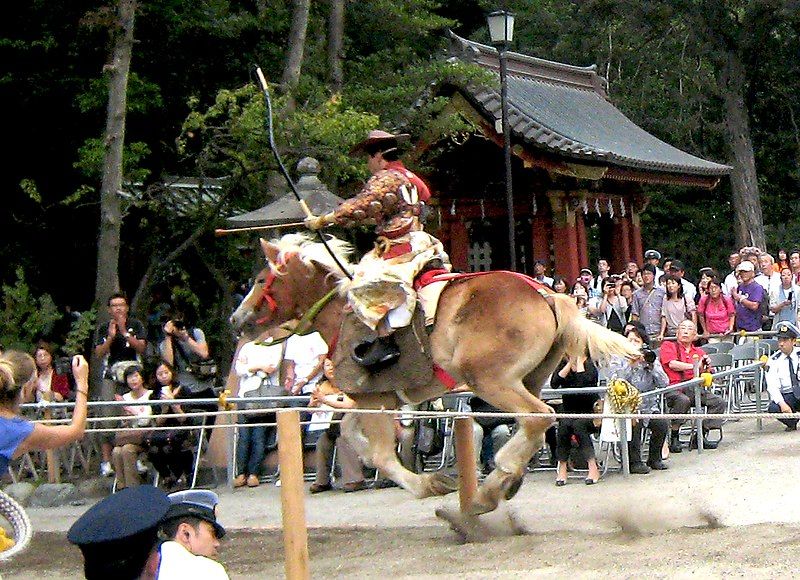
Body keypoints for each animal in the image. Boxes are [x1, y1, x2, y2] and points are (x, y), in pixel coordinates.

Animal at [231, 233, 636, 516]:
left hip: (490, 379)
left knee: (539, 417)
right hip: (530, 378)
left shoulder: (373, 398)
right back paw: (504, 482)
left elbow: (380, 453)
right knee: (533, 422)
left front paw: (430, 484)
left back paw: (492, 484)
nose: (237, 320)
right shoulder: (376, 399)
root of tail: (547, 295)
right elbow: (352, 435)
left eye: (261, 279)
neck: (341, 314)